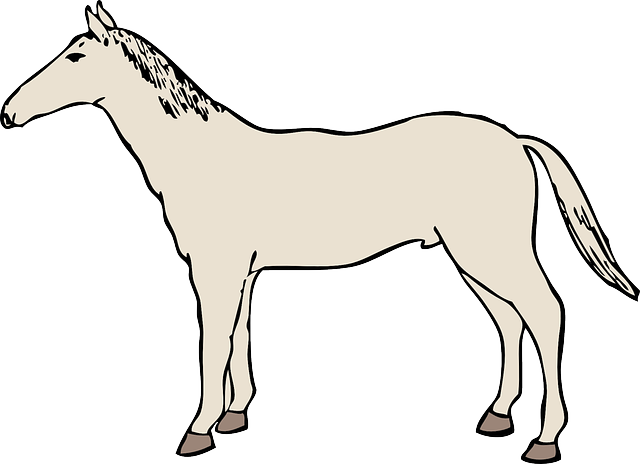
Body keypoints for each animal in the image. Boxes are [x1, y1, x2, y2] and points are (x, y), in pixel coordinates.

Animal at [1, 3, 637, 462]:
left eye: (76, 56)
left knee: (545, 313)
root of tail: (515, 138)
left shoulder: (215, 270)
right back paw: (496, 418)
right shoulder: (242, 273)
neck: (203, 157)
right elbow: (239, 339)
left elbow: (213, 344)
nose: (8, 112)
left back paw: (545, 440)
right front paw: (234, 417)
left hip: (492, 252)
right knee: (509, 321)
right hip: (471, 257)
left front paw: (197, 431)